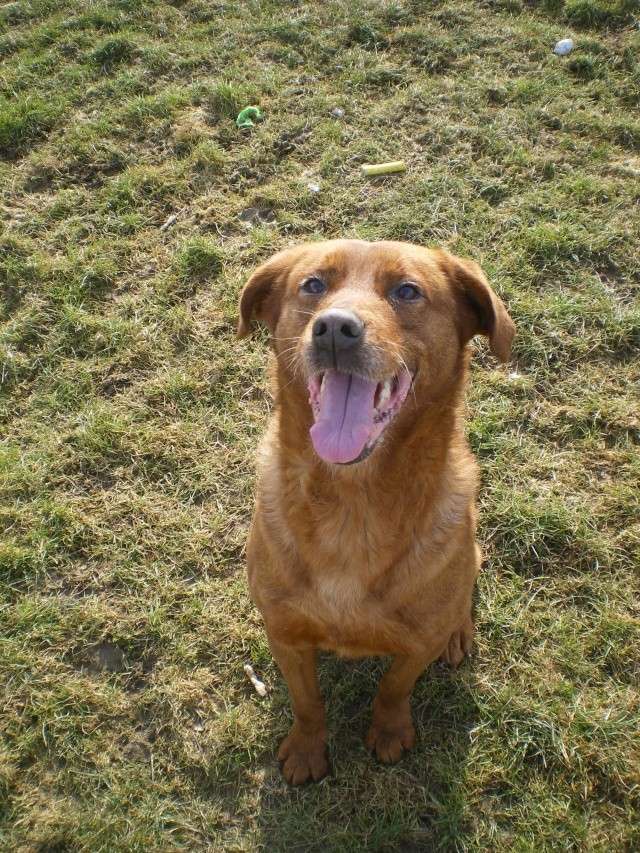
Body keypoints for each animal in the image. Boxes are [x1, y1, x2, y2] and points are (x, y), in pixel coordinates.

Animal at [236, 240, 516, 784]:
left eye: (406, 291)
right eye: (313, 285)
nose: (334, 328)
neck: (353, 506)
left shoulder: (416, 645)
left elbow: (393, 689)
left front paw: (389, 733)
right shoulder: (285, 635)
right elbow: (307, 703)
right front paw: (307, 750)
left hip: (468, 553)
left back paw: (459, 633)